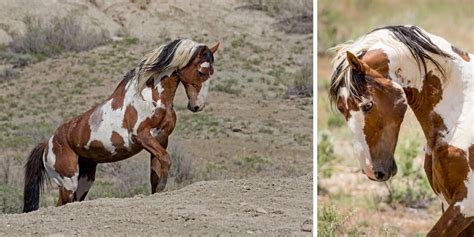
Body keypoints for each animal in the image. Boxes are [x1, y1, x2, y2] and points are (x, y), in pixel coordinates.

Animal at [23, 38, 219, 213]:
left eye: (212, 73)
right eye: (202, 72)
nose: (197, 106)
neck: (152, 97)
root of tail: (48, 143)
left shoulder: (161, 140)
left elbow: (157, 171)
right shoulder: (142, 137)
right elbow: (166, 160)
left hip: (85, 180)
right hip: (67, 182)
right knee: (61, 204)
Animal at [330, 25, 474, 236]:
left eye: (367, 105)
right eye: (341, 108)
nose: (371, 171)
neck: (463, 111)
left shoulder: (466, 203)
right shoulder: (448, 202)